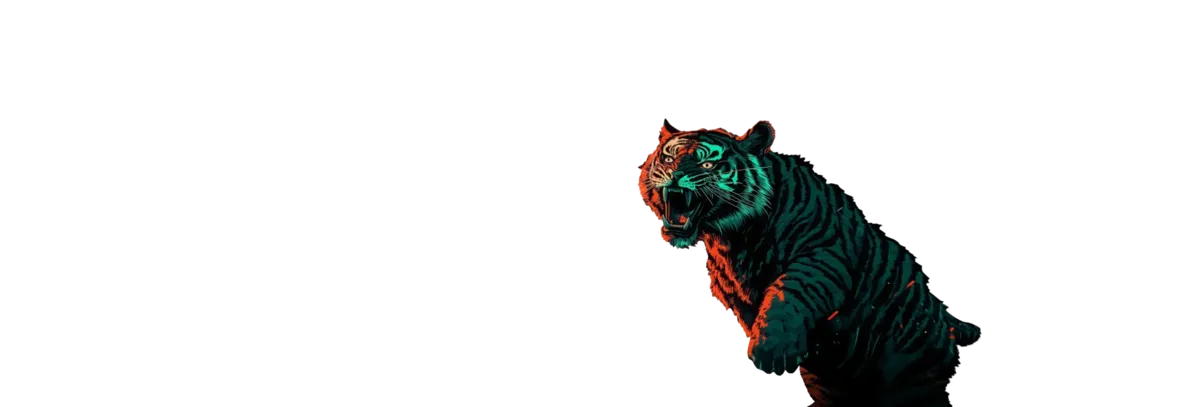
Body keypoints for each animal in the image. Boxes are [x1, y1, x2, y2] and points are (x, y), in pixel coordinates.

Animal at [637, 119, 981, 407]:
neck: (730, 239)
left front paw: (771, 352)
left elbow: (786, 295)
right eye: (668, 159)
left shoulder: (822, 257)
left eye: (708, 163)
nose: (675, 174)